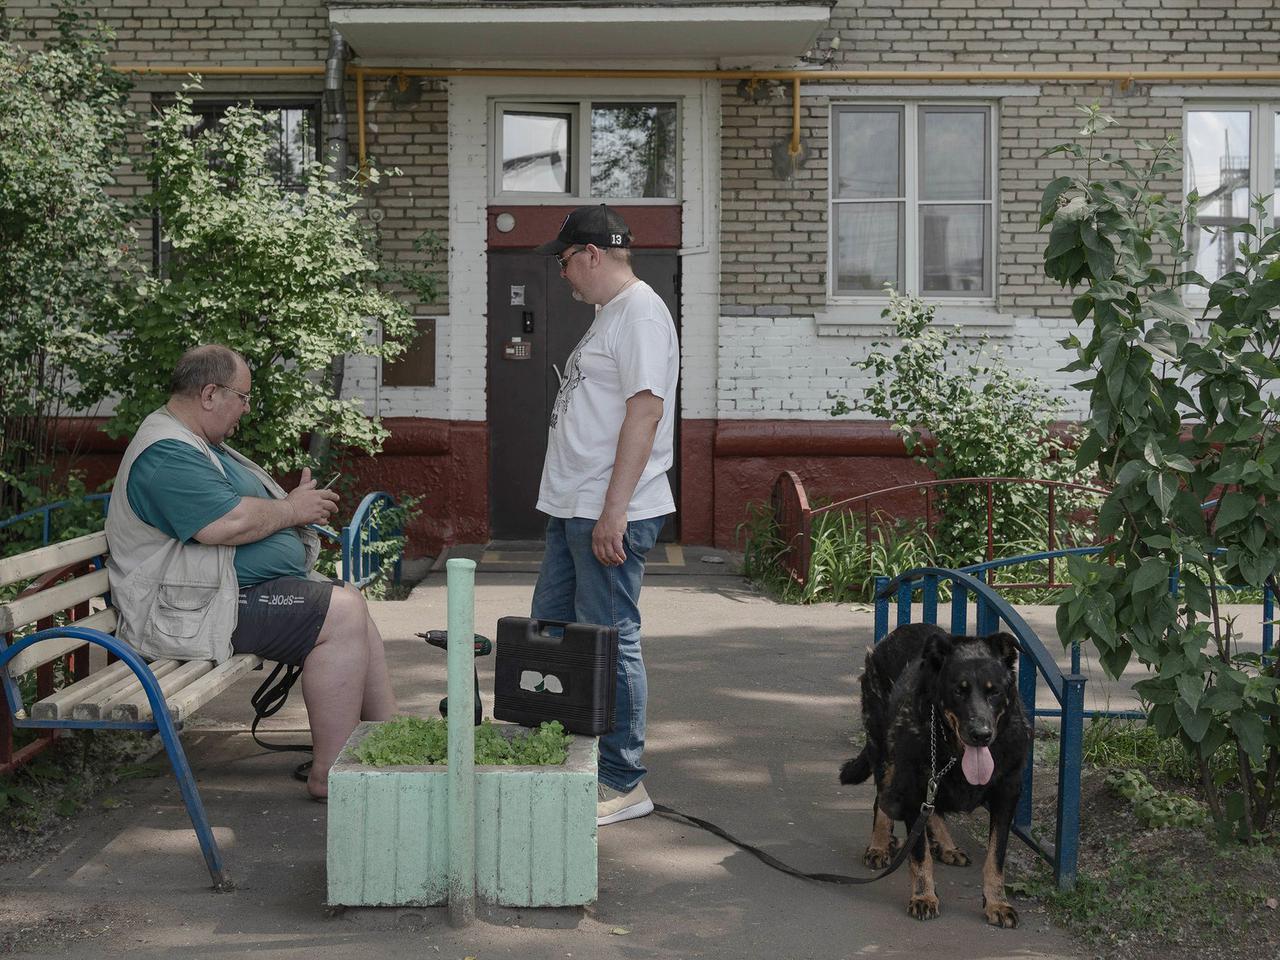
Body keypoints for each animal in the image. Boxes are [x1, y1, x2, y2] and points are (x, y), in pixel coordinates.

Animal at [839, 627, 1029, 926]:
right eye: (958, 691)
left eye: (994, 691)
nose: (981, 734)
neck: (955, 750)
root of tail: (892, 635)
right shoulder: (913, 786)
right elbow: (920, 854)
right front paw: (923, 895)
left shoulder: (1007, 793)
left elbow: (995, 856)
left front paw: (997, 902)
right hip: (883, 751)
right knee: (882, 799)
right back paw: (879, 845)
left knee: (932, 809)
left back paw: (947, 846)